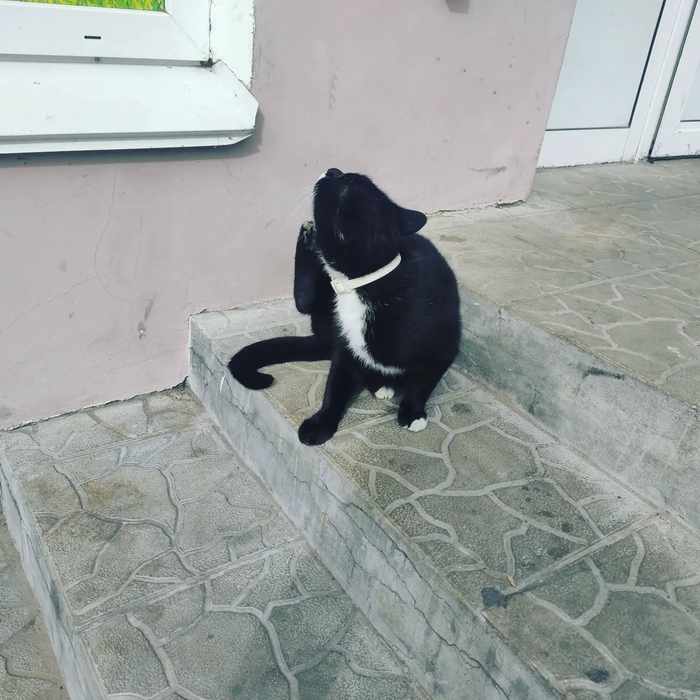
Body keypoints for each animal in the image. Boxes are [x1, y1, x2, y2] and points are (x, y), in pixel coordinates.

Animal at [228, 168, 461, 446]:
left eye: (346, 180)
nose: (334, 171)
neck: (364, 282)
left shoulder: (443, 347)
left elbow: (421, 384)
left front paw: (412, 413)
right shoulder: (347, 350)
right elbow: (336, 387)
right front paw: (320, 423)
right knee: (303, 299)